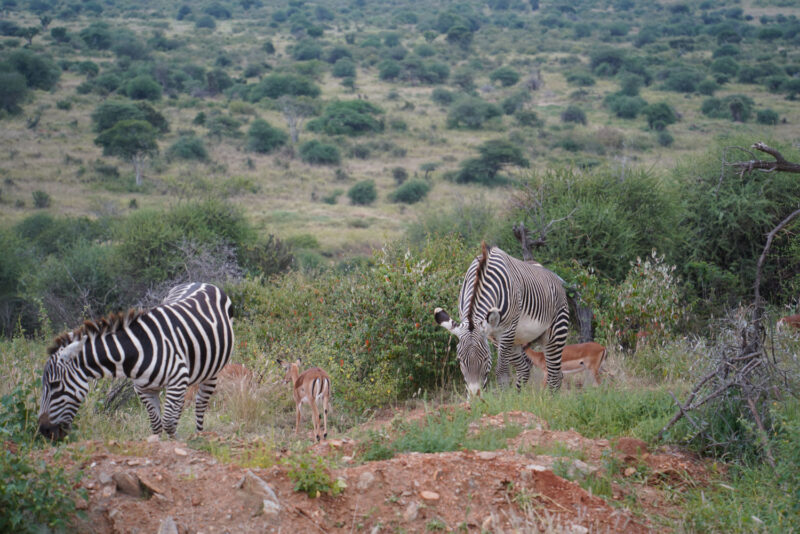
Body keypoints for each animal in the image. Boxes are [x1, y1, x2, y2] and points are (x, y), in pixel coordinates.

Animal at [39, 282, 233, 442]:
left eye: (55, 385)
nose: (44, 431)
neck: (137, 350)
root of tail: (202, 282)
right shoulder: (143, 389)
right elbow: (157, 424)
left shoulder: (176, 379)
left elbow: (167, 422)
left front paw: (177, 443)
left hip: (212, 372)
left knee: (201, 403)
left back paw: (200, 434)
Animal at [432, 244, 568, 398]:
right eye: (459, 360)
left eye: (486, 358)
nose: (475, 396)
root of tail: (552, 275)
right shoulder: (493, 336)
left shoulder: (507, 330)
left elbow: (501, 372)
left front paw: (503, 401)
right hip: (519, 340)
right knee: (526, 368)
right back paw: (519, 398)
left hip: (556, 331)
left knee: (554, 374)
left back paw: (550, 400)